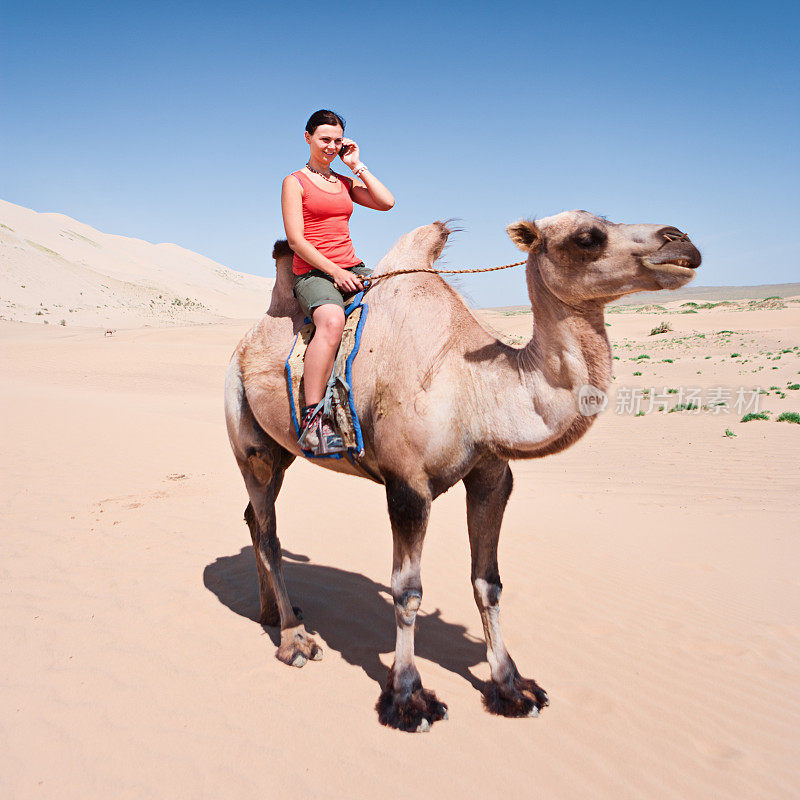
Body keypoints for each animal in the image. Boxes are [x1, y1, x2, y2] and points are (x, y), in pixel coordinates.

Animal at [223, 211, 700, 732]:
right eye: (588, 237)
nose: (682, 241)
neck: (475, 387)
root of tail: (244, 345)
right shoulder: (406, 484)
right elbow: (407, 591)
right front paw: (408, 699)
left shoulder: (492, 476)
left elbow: (488, 583)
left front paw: (513, 688)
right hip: (248, 441)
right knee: (268, 530)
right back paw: (295, 641)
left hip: (280, 450)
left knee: (253, 519)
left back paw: (272, 613)